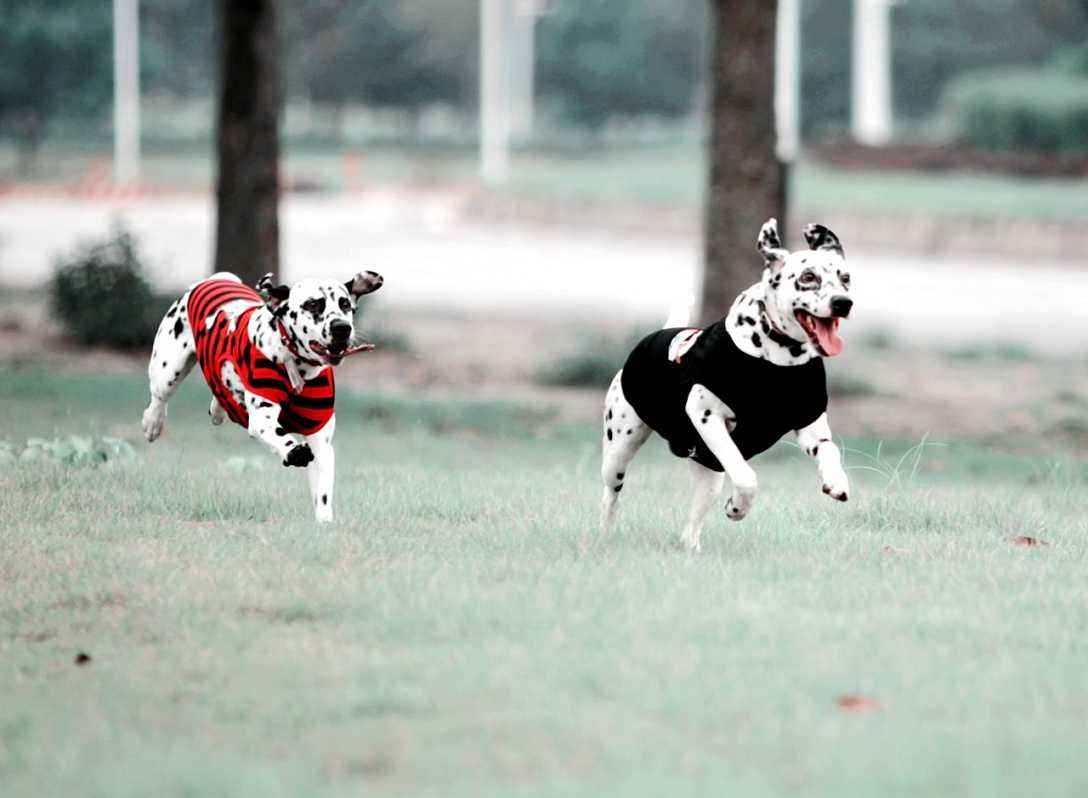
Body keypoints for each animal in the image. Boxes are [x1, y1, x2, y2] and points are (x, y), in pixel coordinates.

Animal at [141, 268, 382, 522]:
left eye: (345, 304)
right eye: (312, 304)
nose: (341, 327)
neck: (297, 368)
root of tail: (216, 279)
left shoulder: (320, 438)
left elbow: (323, 489)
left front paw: (324, 521)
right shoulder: (262, 418)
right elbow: (279, 435)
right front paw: (293, 451)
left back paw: (218, 408)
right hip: (168, 370)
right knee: (159, 398)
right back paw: (153, 423)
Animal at [600, 219, 852, 553]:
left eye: (845, 278)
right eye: (808, 277)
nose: (843, 303)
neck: (776, 363)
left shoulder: (809, 422)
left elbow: (829, 449)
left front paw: (836, 481)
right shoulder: (706, 416)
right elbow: (746, 477)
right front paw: (737, 507)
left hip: (709, 475)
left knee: (691, 525)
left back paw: (690, 546)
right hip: (620, 447)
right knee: (611, 493)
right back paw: (605, 533)